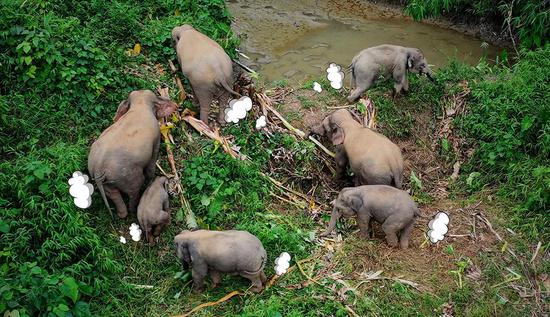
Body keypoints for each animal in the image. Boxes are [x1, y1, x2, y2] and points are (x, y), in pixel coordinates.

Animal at [88, 89, 178, 217]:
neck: (139, 104)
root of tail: (97, 168)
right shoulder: (156, 135)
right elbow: (153, 155)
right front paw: (151, 178)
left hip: (108, 181)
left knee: (113, 194)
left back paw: (122, 214)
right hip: (128, 176)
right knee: (134, 189)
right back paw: (133, 210)